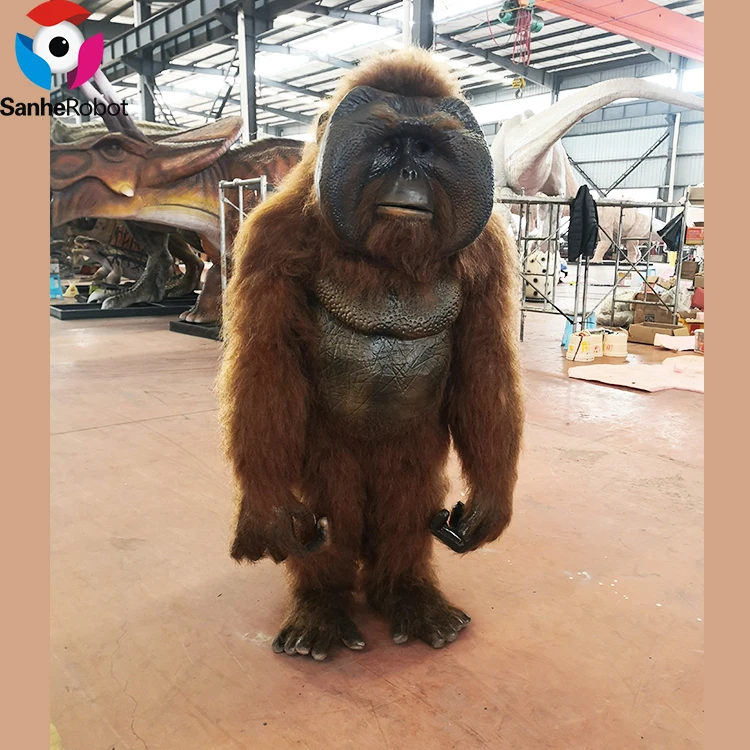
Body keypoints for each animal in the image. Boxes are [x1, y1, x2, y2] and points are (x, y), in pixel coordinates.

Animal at [217, 48, 524, 661]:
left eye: (425, 149)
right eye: (387, 146)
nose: (408, 173)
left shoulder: (490, 250)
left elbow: (486, 364)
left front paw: (490, 504)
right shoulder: (268, 238)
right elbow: (266, 364)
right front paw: (268, 514)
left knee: (406, 500)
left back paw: (409, 597)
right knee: (331, 513)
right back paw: (322, 609)